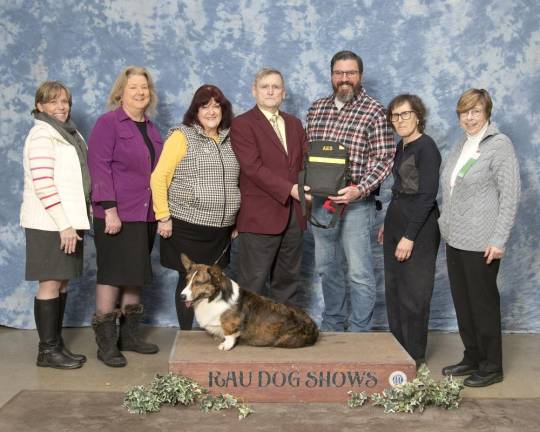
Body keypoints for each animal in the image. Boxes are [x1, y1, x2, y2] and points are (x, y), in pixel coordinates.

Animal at [179, 253, 318, 352]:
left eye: (198, 283)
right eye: (187, 280)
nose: (181, 296)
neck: (213, 297)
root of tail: (314, 327)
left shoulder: (232, 325)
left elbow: (229, 333)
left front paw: (225, 345)